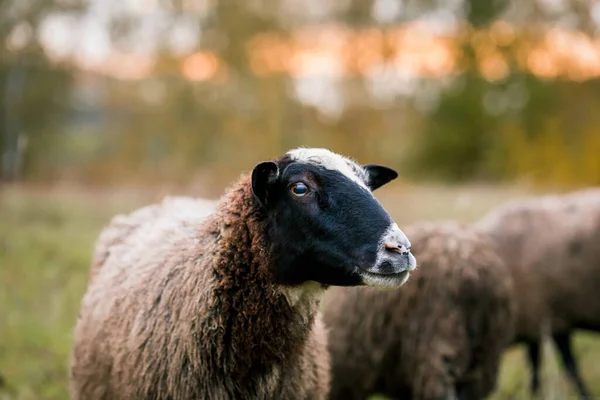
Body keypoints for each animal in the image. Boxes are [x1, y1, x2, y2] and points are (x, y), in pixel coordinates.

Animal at [474, 188, 600, 400]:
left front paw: (585, 395)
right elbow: (535, 364)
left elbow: (568, 366)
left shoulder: (551, 320)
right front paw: (534, 393)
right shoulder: (535, 322)